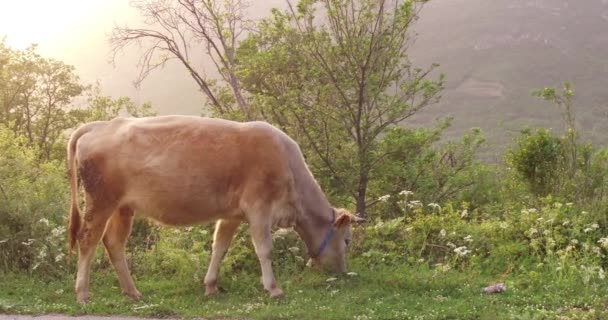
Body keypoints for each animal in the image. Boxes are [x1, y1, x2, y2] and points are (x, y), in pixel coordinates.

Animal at [66, 115, 364, 302]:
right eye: (347, 240)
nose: (342, 272)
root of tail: (101, 125)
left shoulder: (232, 214)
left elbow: (219, 247)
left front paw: (210, 286)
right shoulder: (259, 208)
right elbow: (264, 249)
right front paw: (273, 289)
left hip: (122, 207)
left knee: (114, 243)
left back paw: (132, 292)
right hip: (100, 201)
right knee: (88, 240)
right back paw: (82, 293)